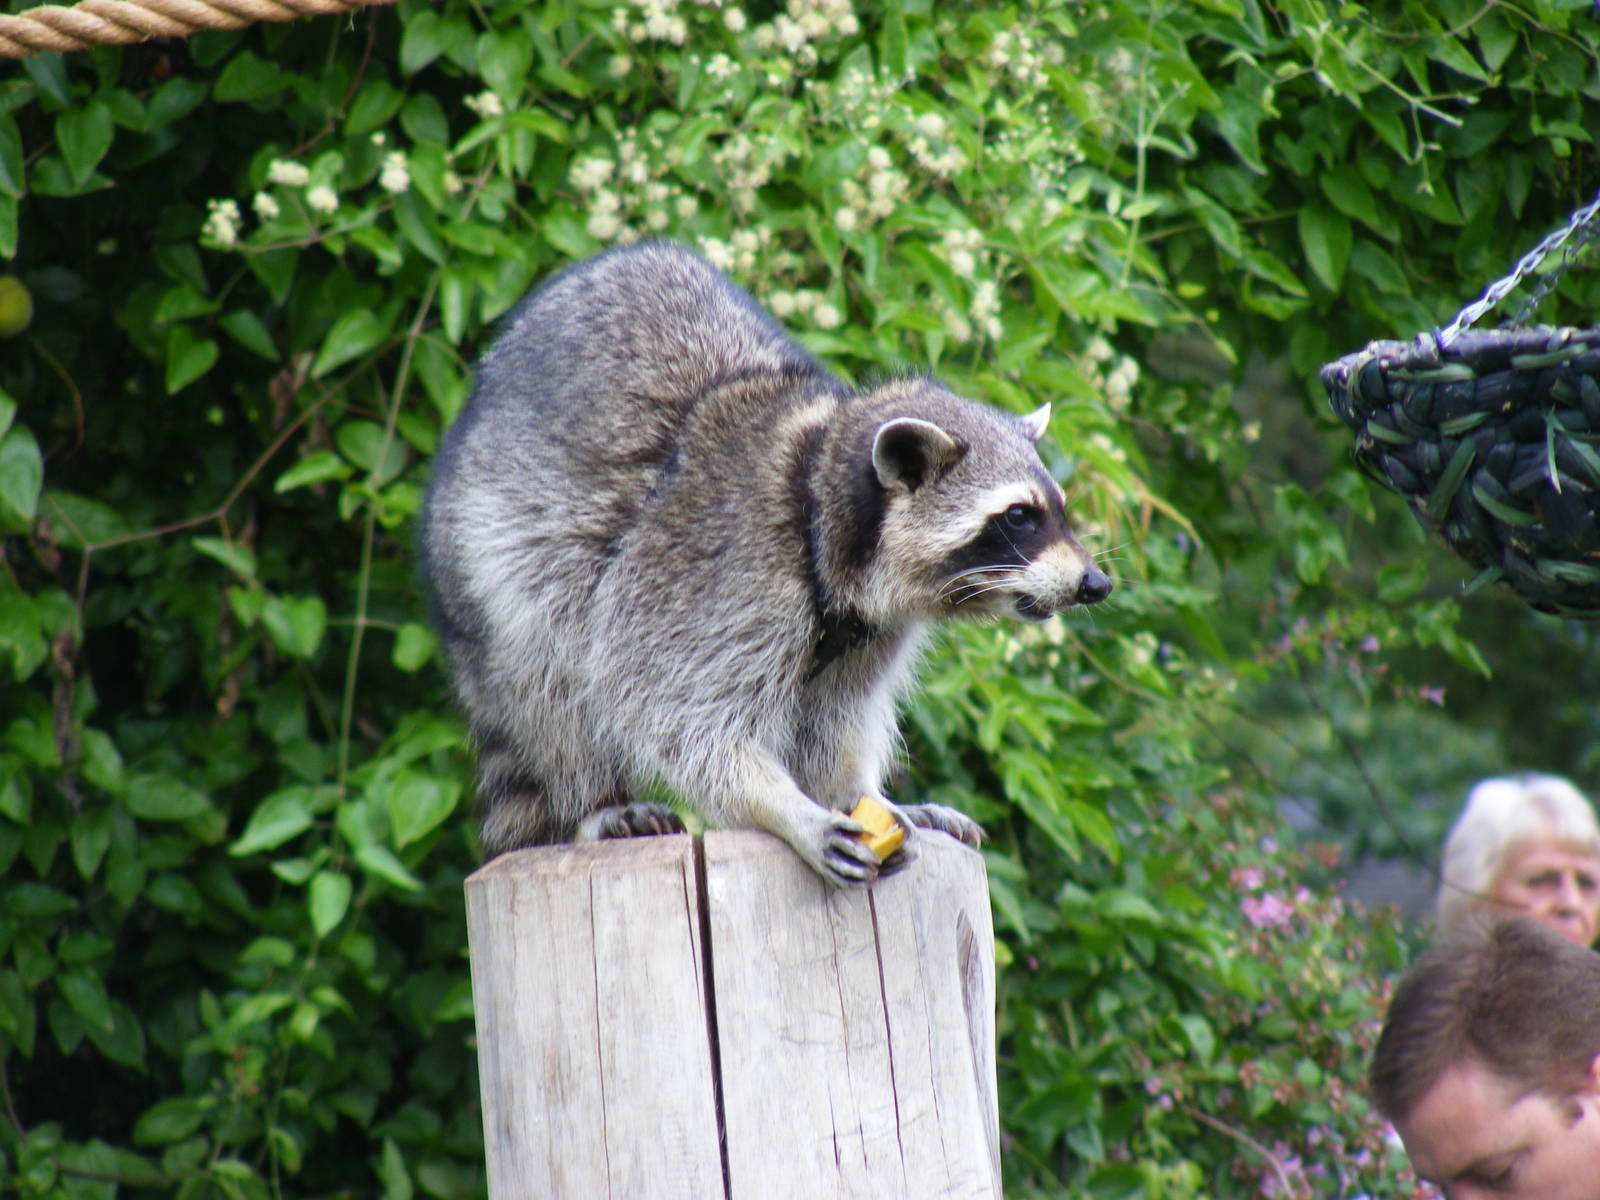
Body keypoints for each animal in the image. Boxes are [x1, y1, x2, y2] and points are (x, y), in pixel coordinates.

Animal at [421, 242, 1111, 886]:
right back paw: (594, 799)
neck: (822, 501)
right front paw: (784, 808)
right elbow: (674, 712)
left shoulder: (870, 631)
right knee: (548, 669)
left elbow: (837, 719)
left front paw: (856, 792)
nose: (1096, 583)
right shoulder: (718, 567)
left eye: (1058, 508)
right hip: (490, 554)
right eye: (1018, 516)